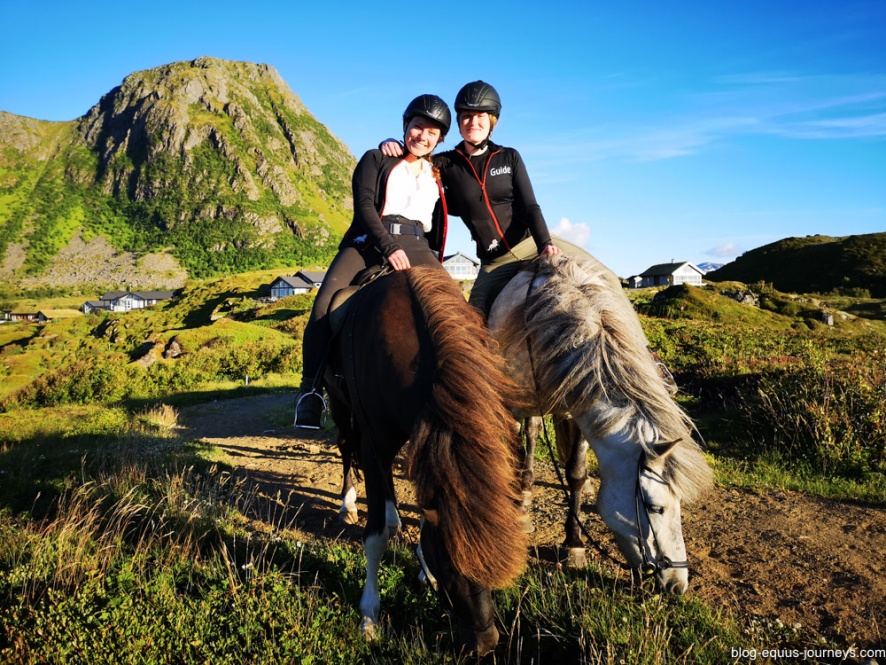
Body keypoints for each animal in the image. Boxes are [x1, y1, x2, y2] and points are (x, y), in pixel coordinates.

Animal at [326, 264, 528, 652]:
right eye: (450, 566)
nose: (486, 643)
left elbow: (421, 516)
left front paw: (422, 569)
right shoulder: (374, 448)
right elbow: (376, 537)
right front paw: (369, 615)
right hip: (341, 408)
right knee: (345, 448)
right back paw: (348, 503)